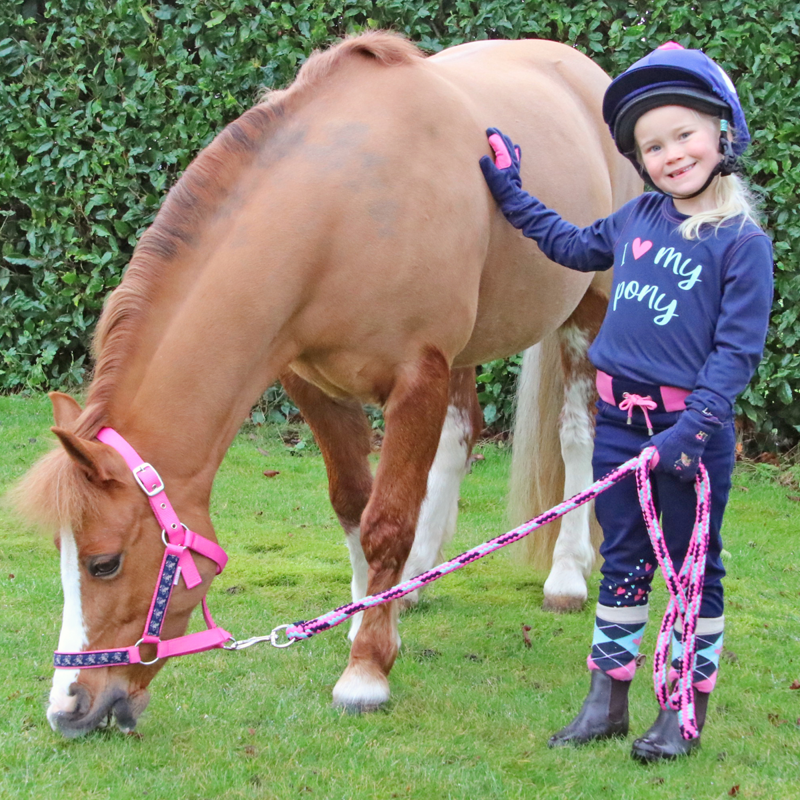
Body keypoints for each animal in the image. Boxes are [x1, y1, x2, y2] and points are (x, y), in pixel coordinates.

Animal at [12, 32, 640, 736]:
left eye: (105, 562)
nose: (67, 708)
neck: (342, 215)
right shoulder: (314, 384)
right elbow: (352, 503)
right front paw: (370, 616)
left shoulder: (415, 379)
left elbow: (385, 521)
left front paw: (366, 671)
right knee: (461, 436)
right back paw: (419, 577)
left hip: (588, 309)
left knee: (577, 435)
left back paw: (566, 576)